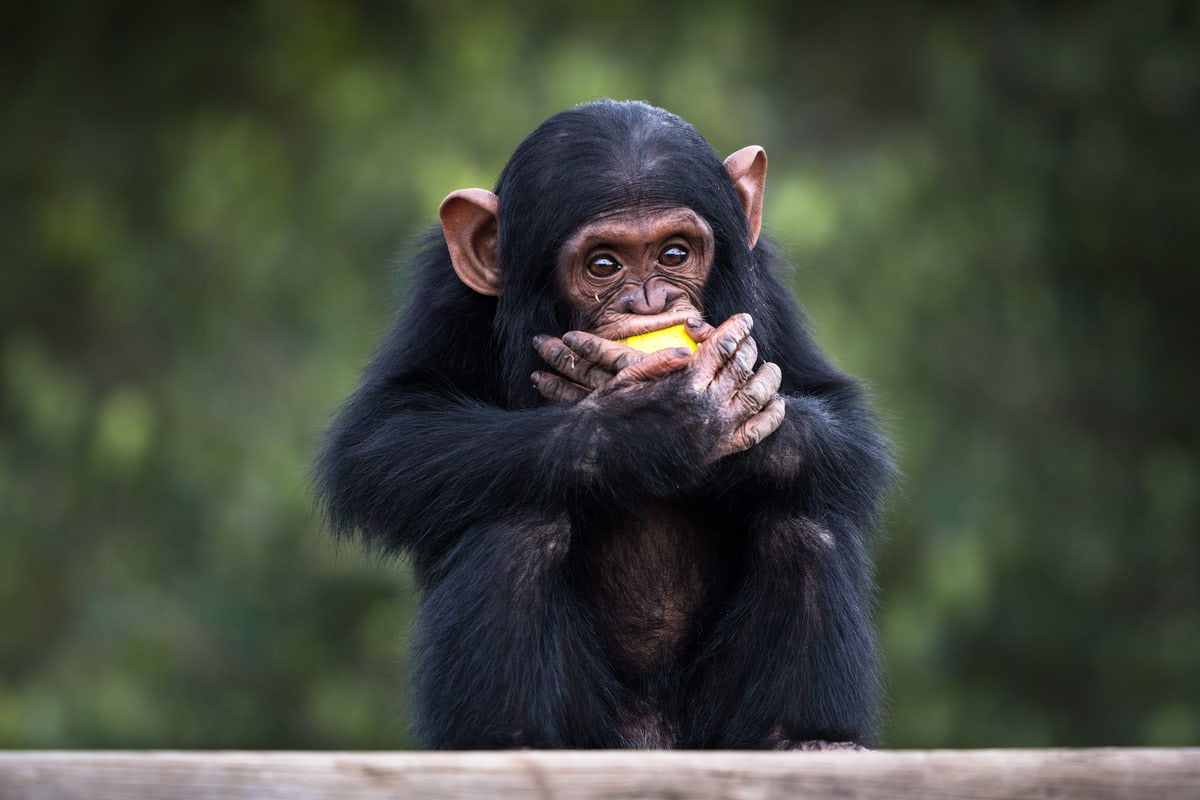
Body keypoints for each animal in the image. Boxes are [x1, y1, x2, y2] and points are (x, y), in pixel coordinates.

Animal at [314, 100, 897, 753]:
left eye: (674, 254)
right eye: (603, 265)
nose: (649, 303)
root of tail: (653, 741)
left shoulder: (763, 277)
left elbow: (838, 412)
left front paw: (742, 426)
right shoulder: (445, 292)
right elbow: (385, 435)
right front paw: (656, 423)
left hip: (711, 729)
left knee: (802, 521)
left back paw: (804, 737)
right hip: (593, 727)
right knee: (516, 523)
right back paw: (509, 741)